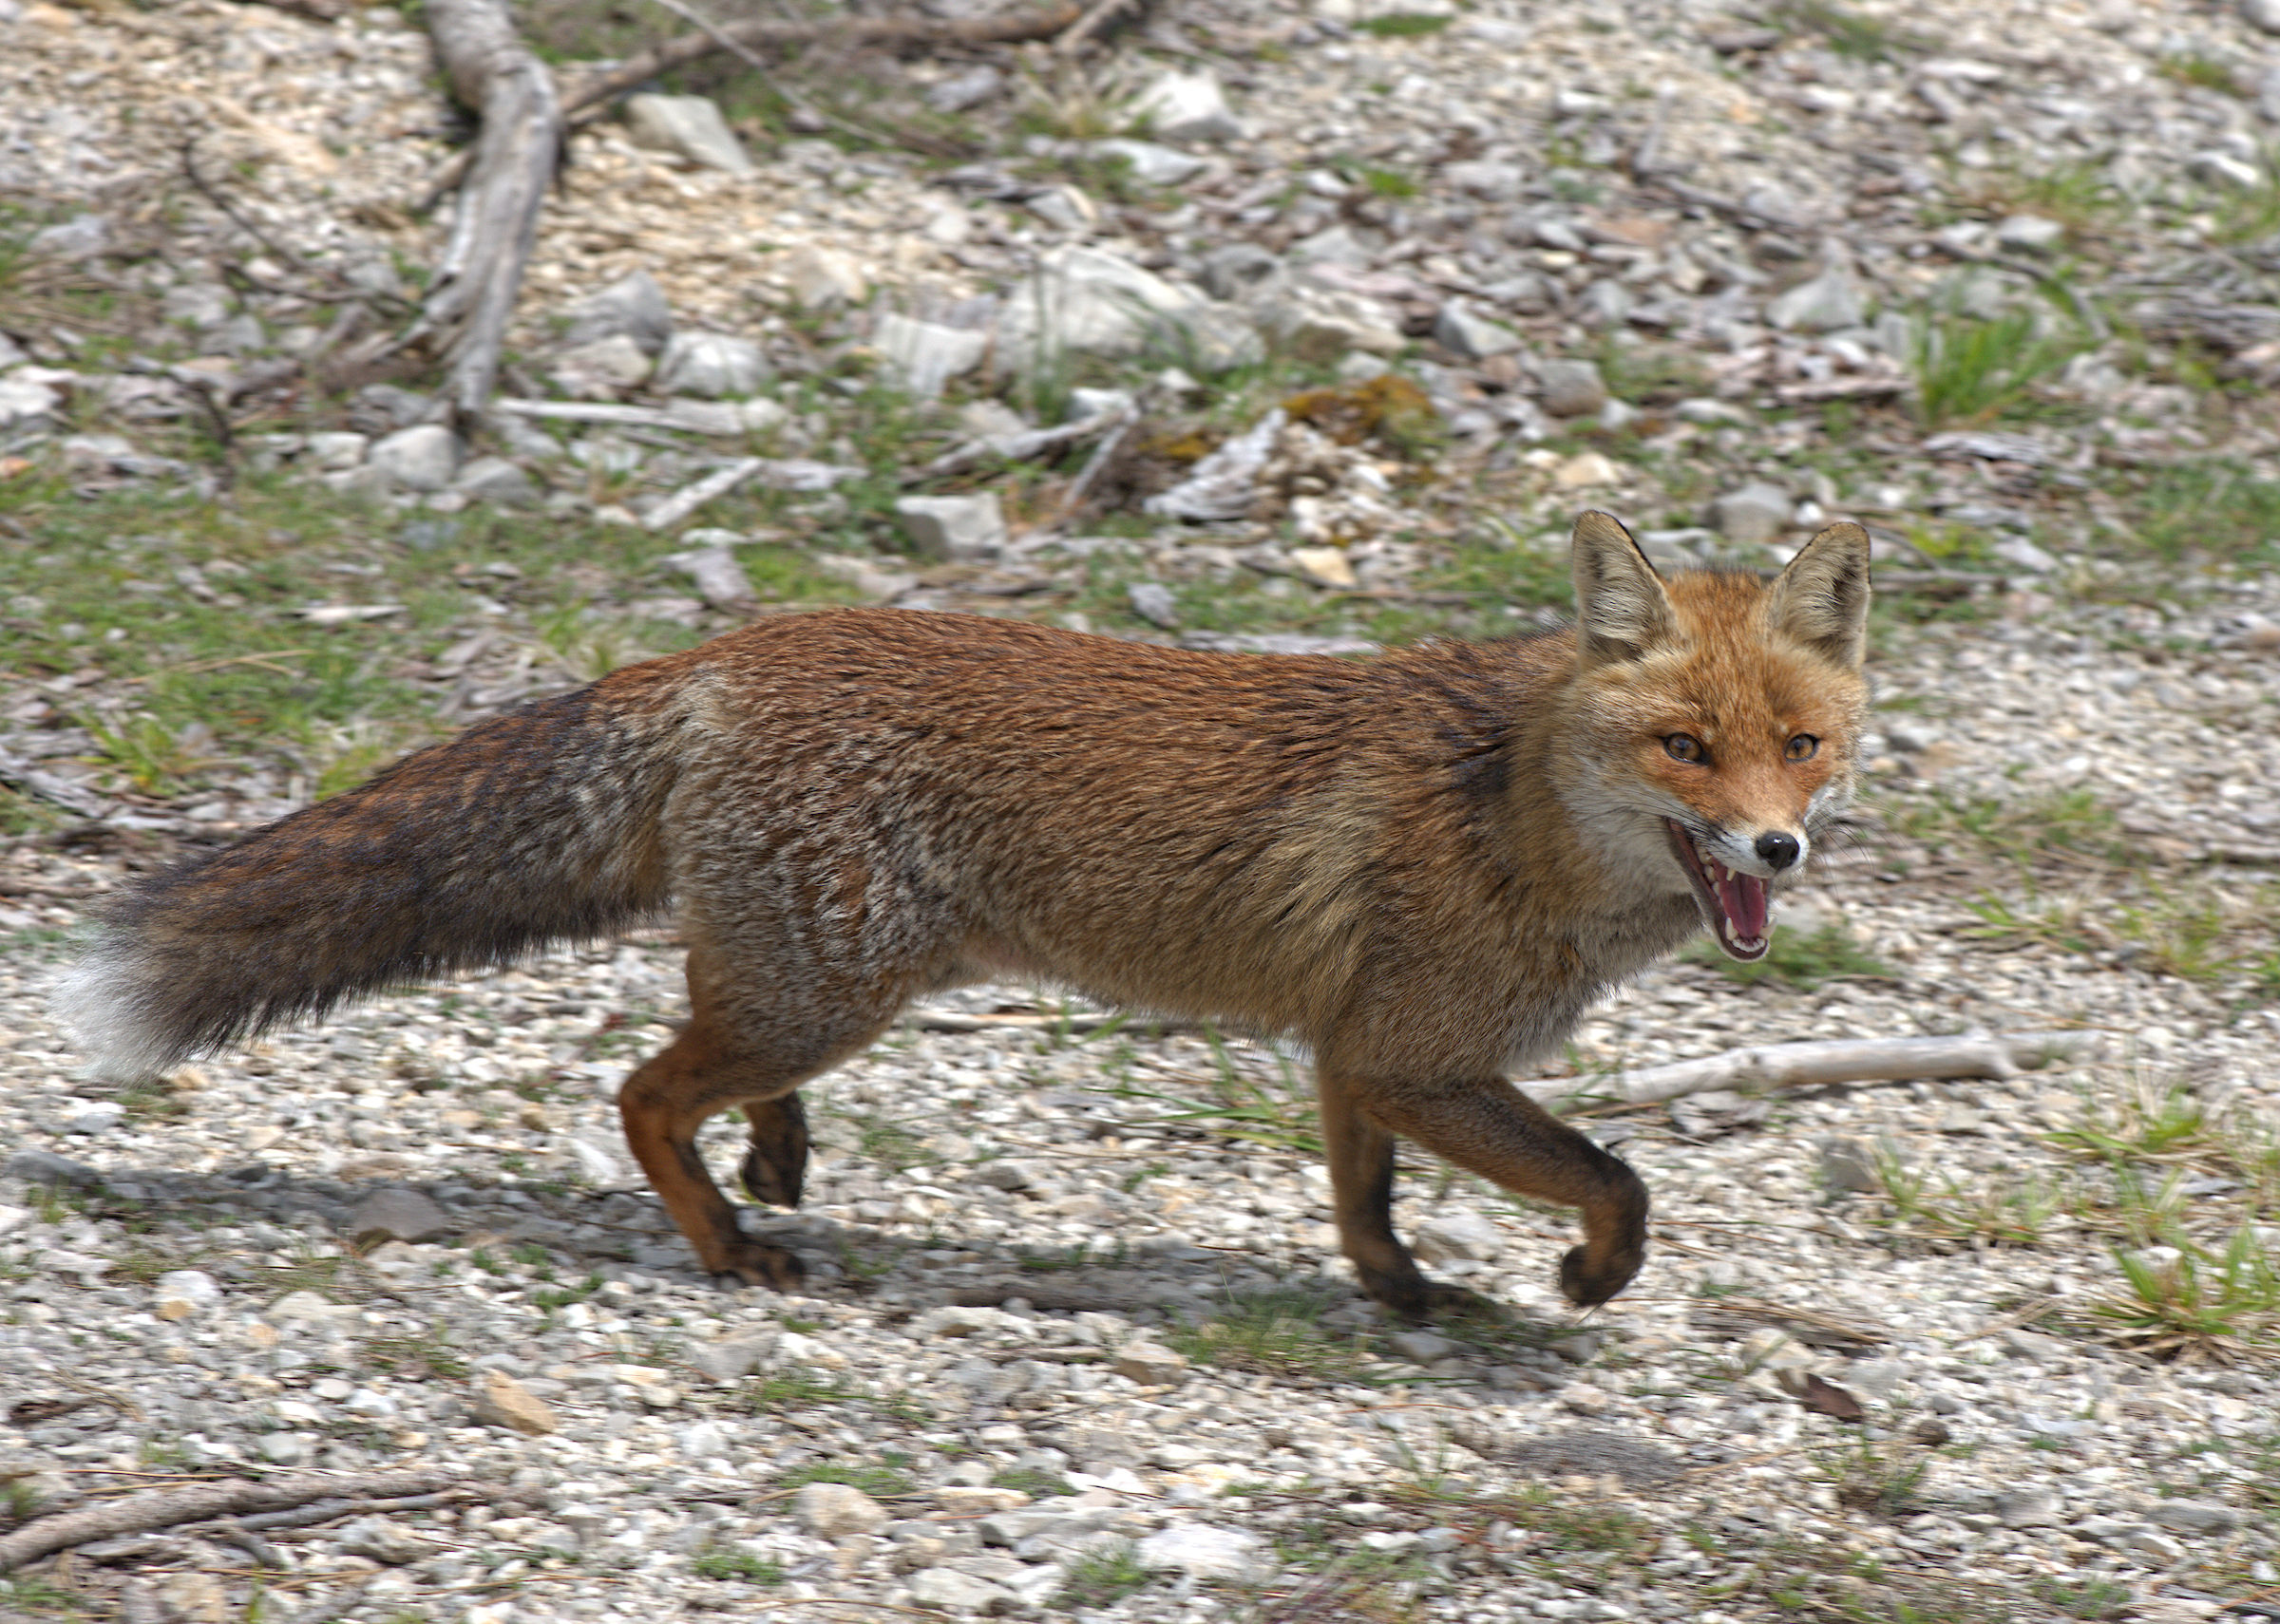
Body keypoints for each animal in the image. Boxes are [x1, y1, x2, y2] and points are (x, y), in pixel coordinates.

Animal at [52, 510, 1870, 1318]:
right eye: (1686, 747)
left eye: (1800, 743)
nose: (1776, 853)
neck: (1514, 805)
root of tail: (725, 651)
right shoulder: (1419, 1052)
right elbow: (1617, 1176)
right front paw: (1587, 1277)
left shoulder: (1356, 1052)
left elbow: (1364, 1200)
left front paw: (1401, 1290)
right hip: (833, 989)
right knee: (640, 1090)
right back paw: (727, 1242)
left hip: (799, 970)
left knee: (697, 1040)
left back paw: (773, 1156)